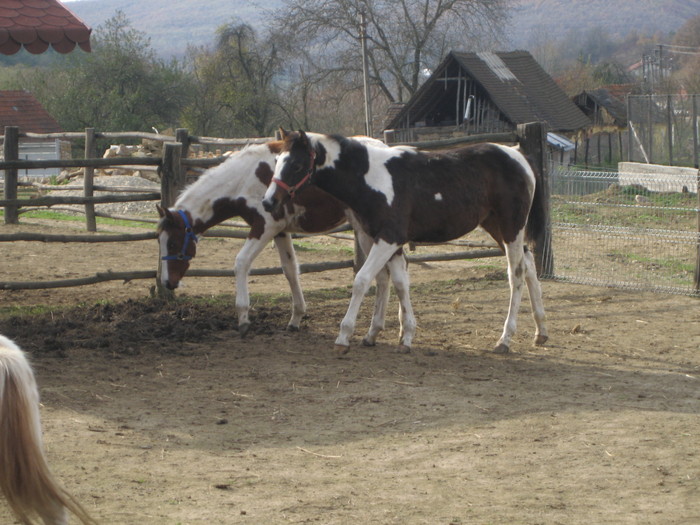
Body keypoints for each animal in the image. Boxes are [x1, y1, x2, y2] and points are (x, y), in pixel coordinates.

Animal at [158, 137, 394, 340]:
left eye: (172, 243)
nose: (167, 282)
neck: (246, 177)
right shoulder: (280, 230)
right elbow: (289, 270)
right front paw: (296, 317)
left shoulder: (265, 226)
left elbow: (241, 262)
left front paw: (243, 318)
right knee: (384, 276)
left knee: (382, 276)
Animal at [262, 129, 548, 354]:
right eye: (278, 162)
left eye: (297, 165)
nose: (268, 201)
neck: (372, 178)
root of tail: (520, 156)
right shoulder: (387, 240)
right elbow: (399, 283)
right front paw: (400, 336)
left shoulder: (389, 238)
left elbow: (362, 280)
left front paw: (344, 336)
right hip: (496, 227)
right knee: (529, 263)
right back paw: (540, 332)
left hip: (511, 227)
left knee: (516, 273)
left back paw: (505, 340)